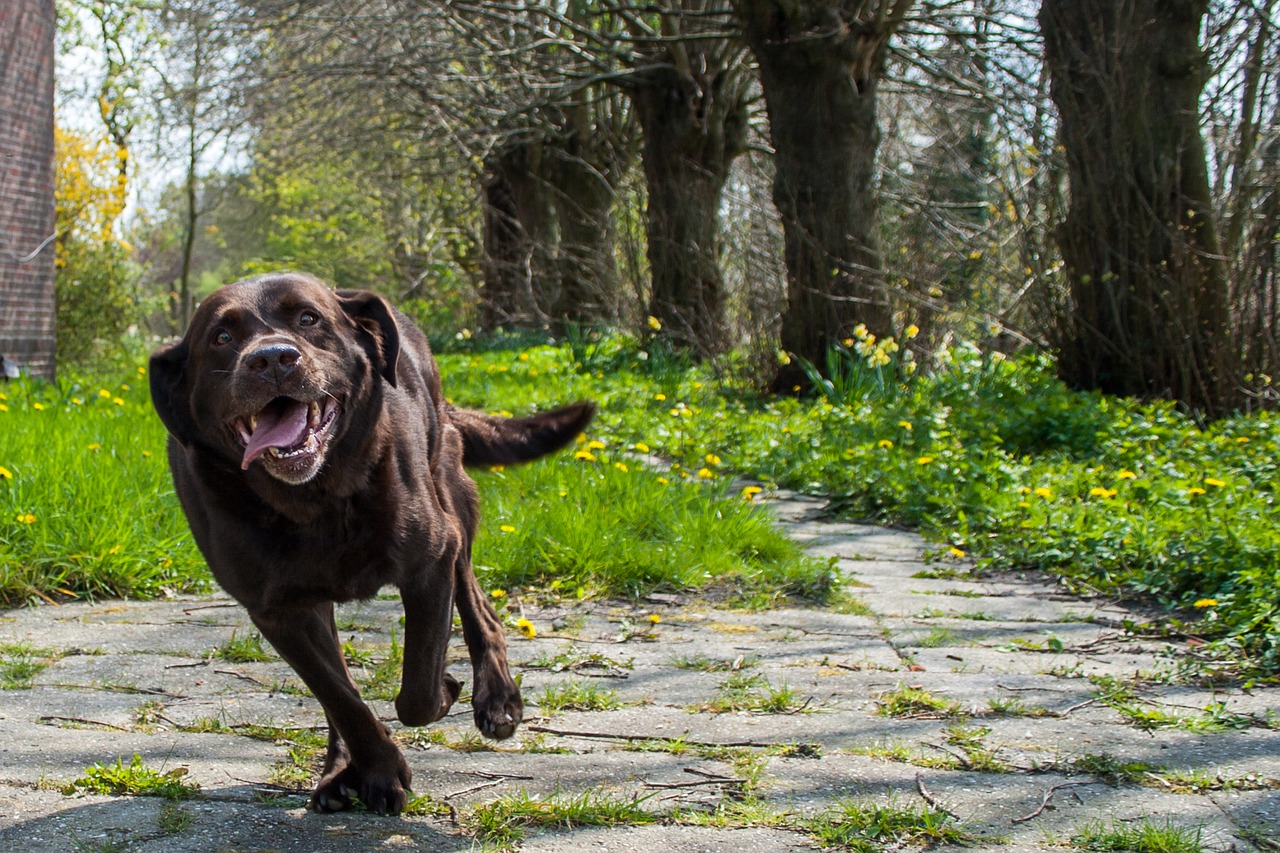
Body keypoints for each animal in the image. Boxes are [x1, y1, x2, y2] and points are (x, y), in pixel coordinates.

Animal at [151, 270, 593, 809]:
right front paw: (377, 771)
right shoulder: (276, 609)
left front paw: (445, 692)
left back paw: (498, 699)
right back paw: (340, 772)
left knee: (478, 607)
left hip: (452, 499)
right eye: (221, 337)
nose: (272, 358)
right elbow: (339, 696)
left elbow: (418, 690)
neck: (315, 501)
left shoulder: (430, 562)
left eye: (308, 318)